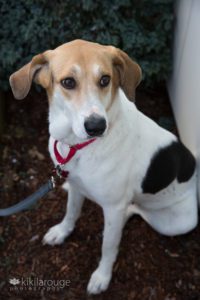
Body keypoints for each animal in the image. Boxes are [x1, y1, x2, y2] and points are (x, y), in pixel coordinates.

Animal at [9, 38, 197, 294]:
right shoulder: (76, 184)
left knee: (134, 213)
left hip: (177, 223)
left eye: (105, 79)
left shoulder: (114, 206)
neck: (78, 146)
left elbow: (108, 246)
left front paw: (102, 276)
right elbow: (71, 212)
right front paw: (62, 231)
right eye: (68, 82)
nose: (96, 126)